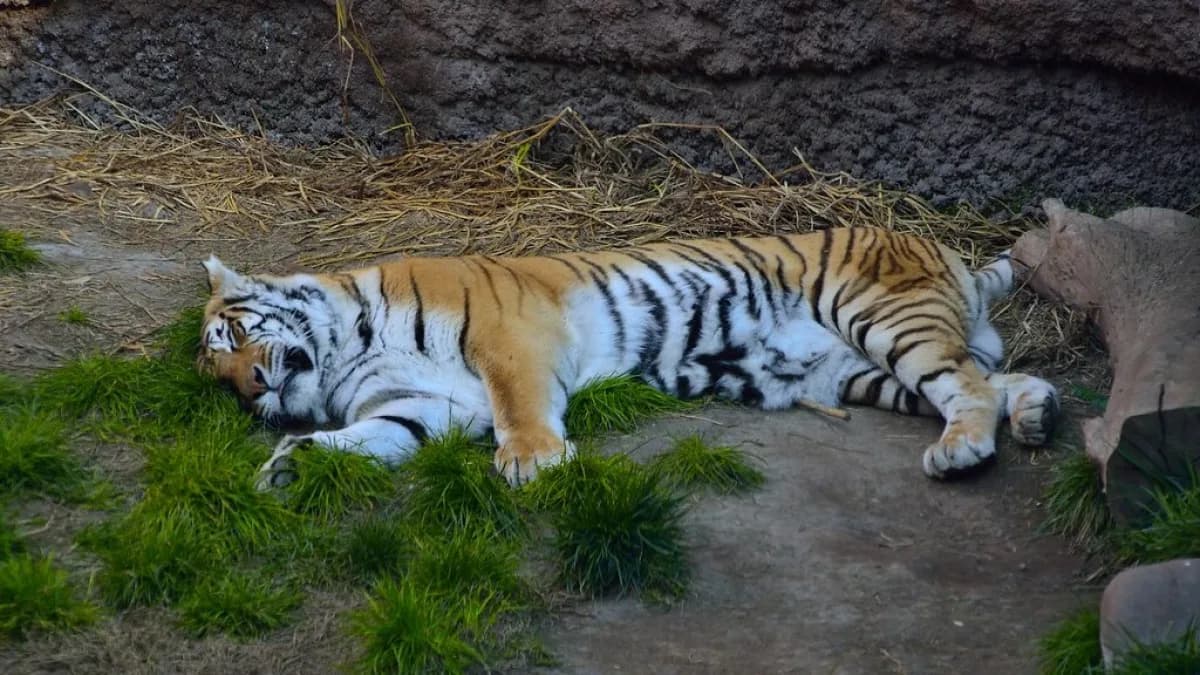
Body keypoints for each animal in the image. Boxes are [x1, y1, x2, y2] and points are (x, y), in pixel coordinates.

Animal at [198, 226, 1059, 490]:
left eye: (231, 341)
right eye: (225, 387)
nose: (255, 390)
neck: (347, 350)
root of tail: (939, 246)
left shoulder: (507, 334)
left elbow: (518, 400)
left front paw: (532, 460)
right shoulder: (424, 405)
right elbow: (366, 440)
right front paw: (290, 463)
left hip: (882, 319)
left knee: (965, 383)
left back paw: (962, 449)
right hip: (854, 370)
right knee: (985, 374)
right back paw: (1036, 414)